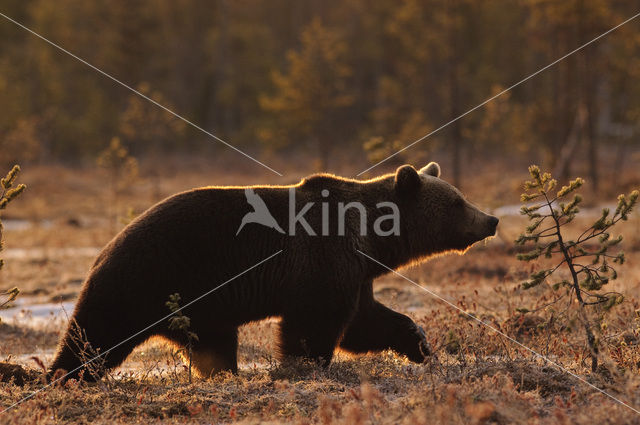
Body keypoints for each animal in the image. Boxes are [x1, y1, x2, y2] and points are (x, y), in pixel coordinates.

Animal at [51, 161, 500, 378]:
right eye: (458, 202)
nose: (492, 219)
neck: (371, 236)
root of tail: (105, 248)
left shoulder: (355, 271)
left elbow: (366, 322)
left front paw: (419, 345)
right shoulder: (323, 257)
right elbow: (314, 323)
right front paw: (300, 366)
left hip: (200, 309)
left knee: (214, 346)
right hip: (147, 278)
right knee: (95, 336)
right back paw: (62, 376)